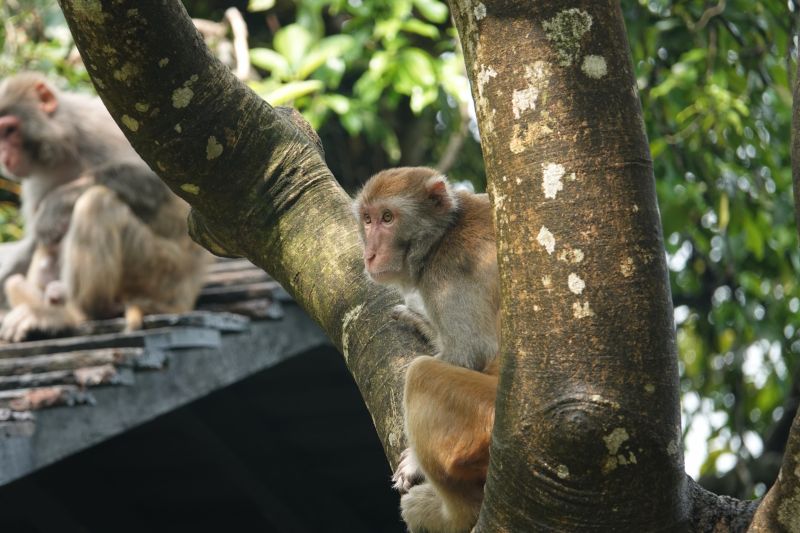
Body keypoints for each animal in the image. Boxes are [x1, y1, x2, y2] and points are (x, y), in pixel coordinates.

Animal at [0, 72, 210, 342]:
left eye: (9, 130)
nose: (4, 156)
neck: (61, 147)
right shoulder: (36, 178)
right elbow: (36, 241)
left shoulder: (100, 127)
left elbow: (162, 178)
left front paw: (56, 204)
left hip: (161, 273)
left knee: (97, 203)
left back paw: (78, 314)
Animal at [353, 167, 500, 532]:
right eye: (368, 219)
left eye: (388, 218)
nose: (370, 254)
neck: (442, 236)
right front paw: (419, 321)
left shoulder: (449, 277)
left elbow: (469, 354)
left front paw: (414, 465)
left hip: (484, 423)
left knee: (421, 373)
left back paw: (452, 515)